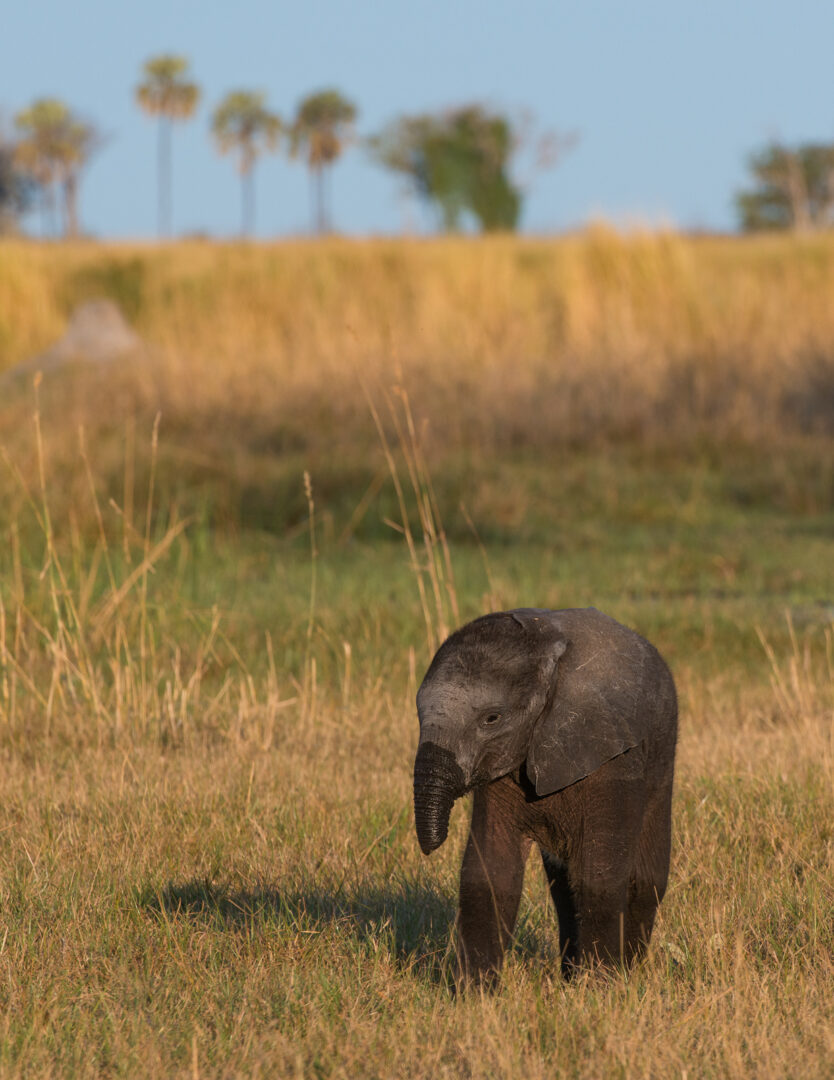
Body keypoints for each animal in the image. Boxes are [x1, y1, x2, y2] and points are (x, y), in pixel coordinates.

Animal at [413, 607, 678, 987]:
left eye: (492, 718)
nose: (431, 846)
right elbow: (490, 873)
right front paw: (474, 993)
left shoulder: (614, 757)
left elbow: (599, 875)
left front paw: (600, 990)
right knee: (563, 888)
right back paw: (570, 977)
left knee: (644, 878)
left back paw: (628, 972)